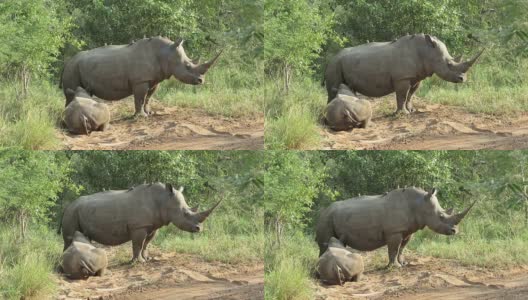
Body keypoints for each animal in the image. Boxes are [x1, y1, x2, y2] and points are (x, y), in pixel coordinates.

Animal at [316, 188, 476, 268]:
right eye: (441, 217)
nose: (455, 231)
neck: (419, 204)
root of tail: (323, 210)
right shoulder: (394, 231)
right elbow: (393, 248)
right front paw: (395, 267)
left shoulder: (407, 231)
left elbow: (401, 248)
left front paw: (403, 263)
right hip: (326, 217)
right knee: (325, 244)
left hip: (331, 216)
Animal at [326, 33, 482, 113]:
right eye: (449, 64)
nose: (463, 79)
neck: (426, 51)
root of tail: (333, 56)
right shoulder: (402, 78)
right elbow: (401, 95)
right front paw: (402, 114)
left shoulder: (416, 77)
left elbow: (410, 95)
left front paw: (411, 110)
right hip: (334, 63)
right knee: (333, 89)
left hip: (340, 62)